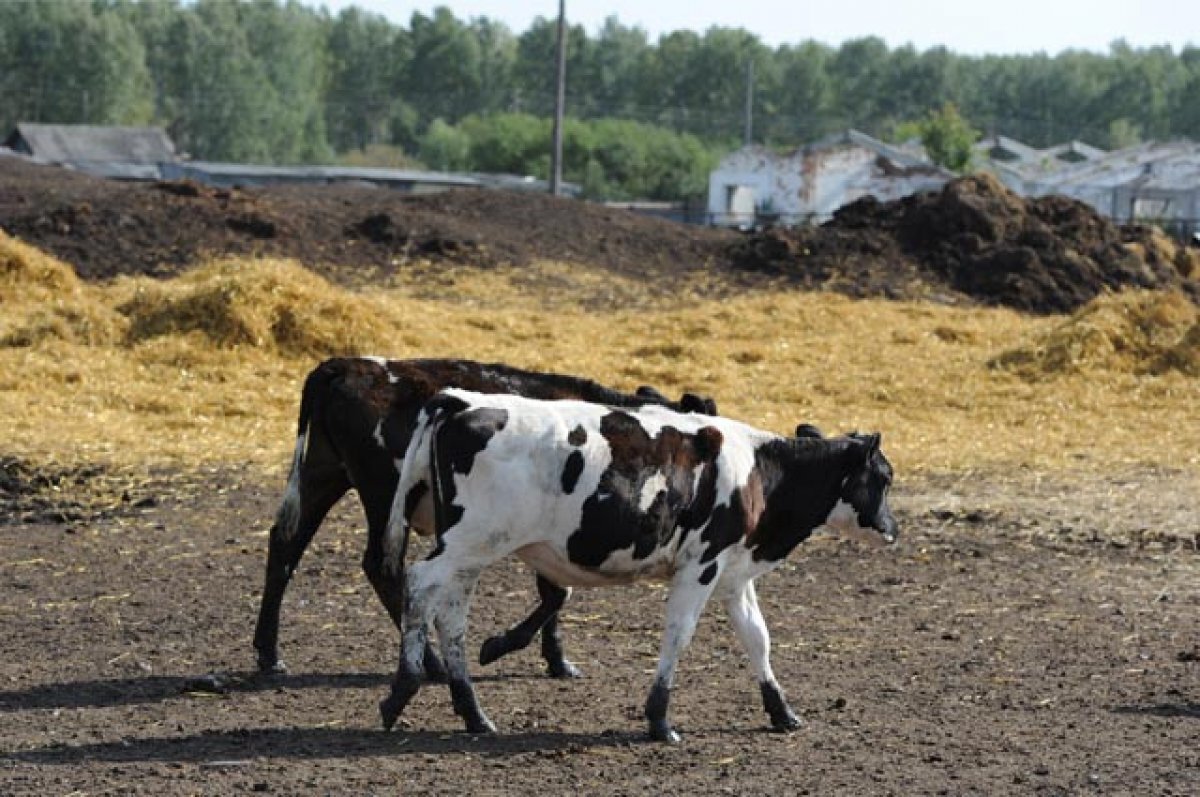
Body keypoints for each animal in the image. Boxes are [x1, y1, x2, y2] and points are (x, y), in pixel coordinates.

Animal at [250, 357, 710, 681]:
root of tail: (344, 365)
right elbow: (556, 595)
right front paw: (500, 646)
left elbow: (555, 591)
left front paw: (557, 661)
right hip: (382, 493)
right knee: (381, 565)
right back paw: (433, 664)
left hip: (323, 475)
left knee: (285, 546)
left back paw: (269, 655)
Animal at [379, 388, 897, 744]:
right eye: (885, 477)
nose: (893, 529)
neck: (757, 471)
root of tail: (461, 401)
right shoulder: (701, 566)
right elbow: (679, 634)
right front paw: (659, 719)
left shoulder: (733, 573)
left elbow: (758, 638)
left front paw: (781, 711)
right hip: (467, 543)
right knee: (418, 583)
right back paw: (402, 690)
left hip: (472, 552)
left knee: (452, 618)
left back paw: (473, 712)